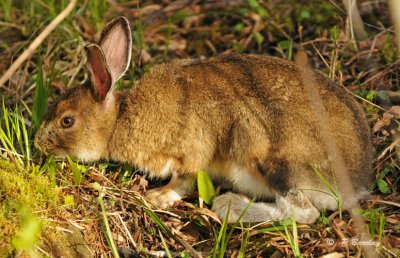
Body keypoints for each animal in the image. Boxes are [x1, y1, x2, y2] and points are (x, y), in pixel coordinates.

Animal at [34, 17, 376, 225]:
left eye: (67, 121)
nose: (39, 144)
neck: (120, 119)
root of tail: (356, 182)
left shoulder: (190, 151)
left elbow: (184, 179)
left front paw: (157, 197)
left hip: (267, 154)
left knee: (304, 212)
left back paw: (230, 206)